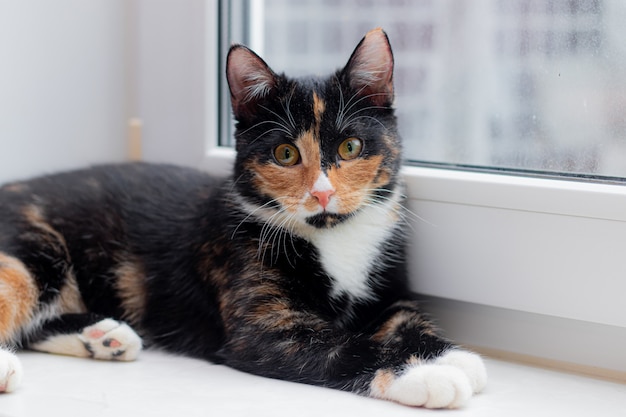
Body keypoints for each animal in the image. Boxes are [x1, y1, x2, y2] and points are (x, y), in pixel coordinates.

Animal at [0, 28, 486, 406]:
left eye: (351, 146)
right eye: (285, 153)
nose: (322, 192)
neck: (333, 238)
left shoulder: (389, 290)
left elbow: (407, 318)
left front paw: (449, 354)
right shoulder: (263, 324)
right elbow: (343, 346)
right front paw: (425, 374)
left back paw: (104, 336)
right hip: (36, 249)